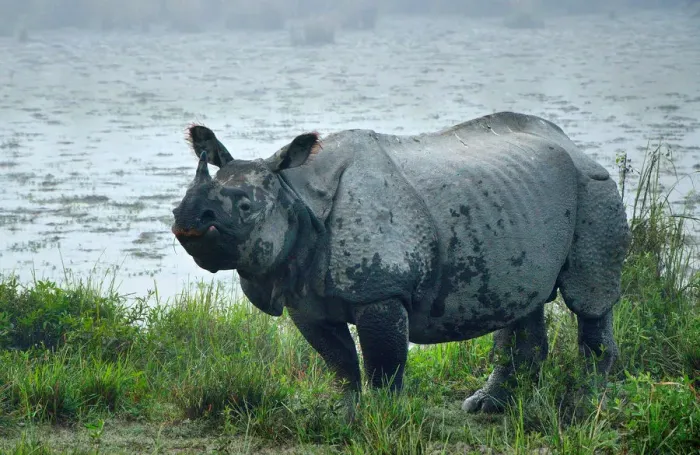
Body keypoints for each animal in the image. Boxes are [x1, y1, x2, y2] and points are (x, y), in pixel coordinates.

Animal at [171, 112, 631, 413]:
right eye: (177, 202)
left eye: (245, 207)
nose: (186, 220)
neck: (294, 193)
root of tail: (575, 146)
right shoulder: (304, 296)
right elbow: (338, 361)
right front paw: (346, 414)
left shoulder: (382, 289)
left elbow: (383, 363)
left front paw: (384, 417)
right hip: (522, 199)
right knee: (523, 300)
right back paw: (487, 406)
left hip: (593, 188)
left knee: (589, 298)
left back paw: (584, 406)